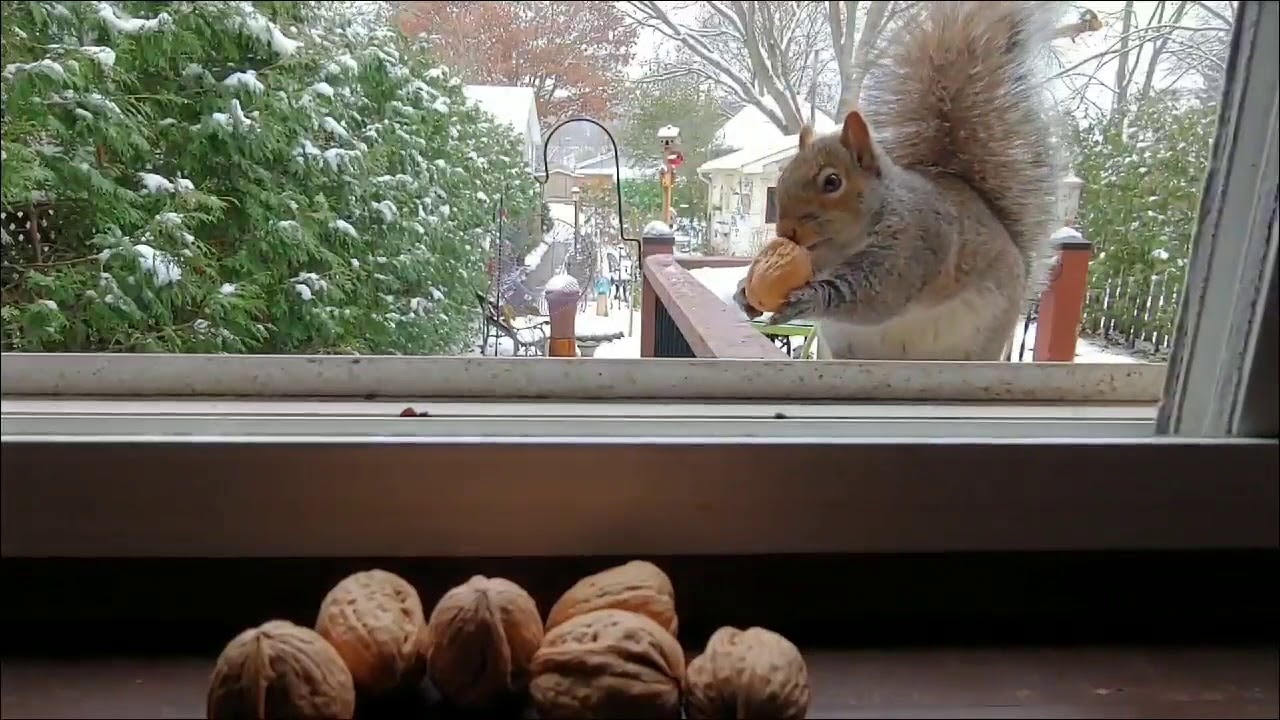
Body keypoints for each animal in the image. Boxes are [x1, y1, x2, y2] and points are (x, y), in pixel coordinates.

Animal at [734, 1, 1067, 361]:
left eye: (832, 182)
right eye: (782, 176)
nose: (786, 232)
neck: (840, 246)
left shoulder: (915, 247)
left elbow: (875, 296)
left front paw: (809, 298)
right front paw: (743, 293)